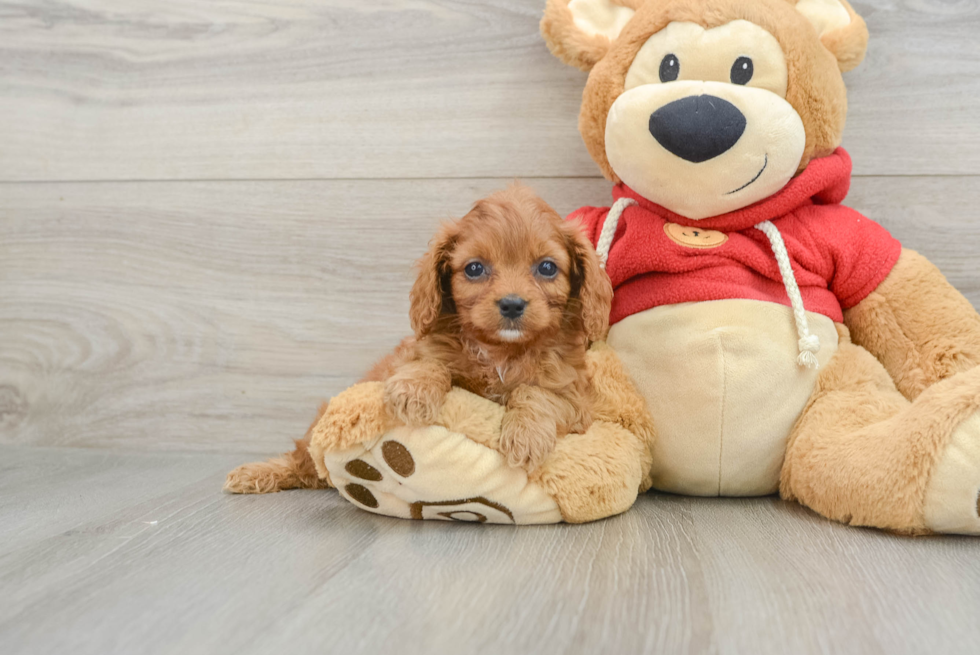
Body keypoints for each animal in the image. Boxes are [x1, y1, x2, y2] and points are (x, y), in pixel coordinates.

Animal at [227, 184, 612, 492]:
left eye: (547, 267)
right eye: (474, 268)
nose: (512, 304)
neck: (500, 350)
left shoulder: (574, 395)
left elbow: (538, 394)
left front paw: (526, 436)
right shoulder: (414, 355)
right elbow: (429, 362)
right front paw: (414, 392)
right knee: (302, 459)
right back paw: (256, 474)